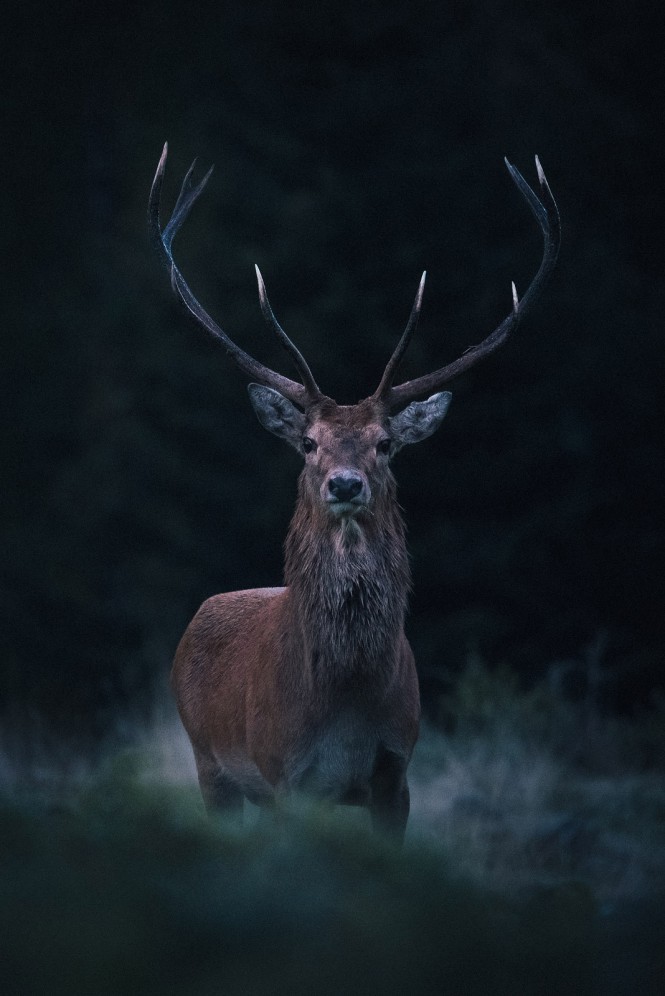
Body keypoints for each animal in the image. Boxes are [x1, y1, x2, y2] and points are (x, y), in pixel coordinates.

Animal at [148, 144, 556, 836]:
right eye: (309, 442)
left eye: (385, 443)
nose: (344, 482)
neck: (343, 702)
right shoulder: (285, 773)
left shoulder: (398, 772)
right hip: (211, 767)